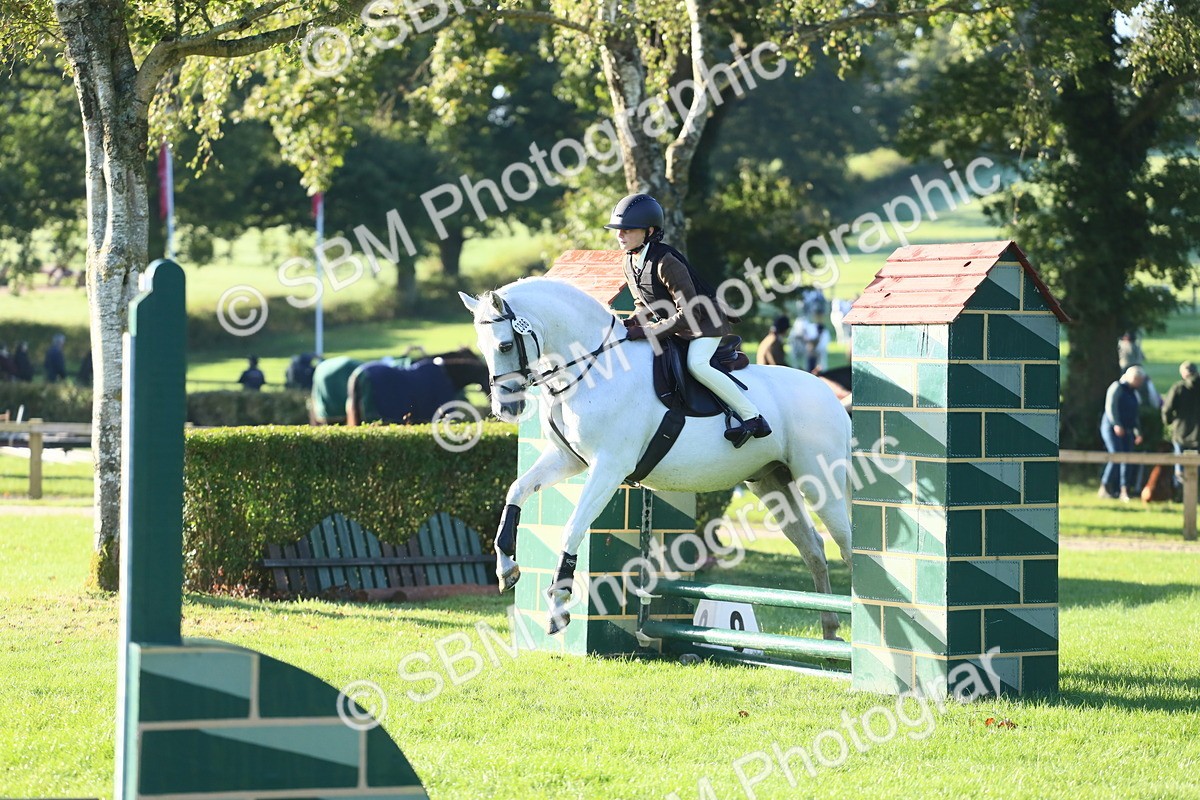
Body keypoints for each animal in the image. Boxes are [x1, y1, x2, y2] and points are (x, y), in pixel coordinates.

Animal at [460, 278, 853, 638]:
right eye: (481, 347)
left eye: (505, 345)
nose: (505, 409)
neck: (594, 367)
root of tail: (831, 396)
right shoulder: (567, 460)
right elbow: (516, 490)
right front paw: (506, 568)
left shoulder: (608, 468)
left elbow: (572, 528)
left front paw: (558, 607)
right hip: (772, 483)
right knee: (814, 548)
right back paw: (830, 632)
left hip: (821, 483)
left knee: (848, 546)